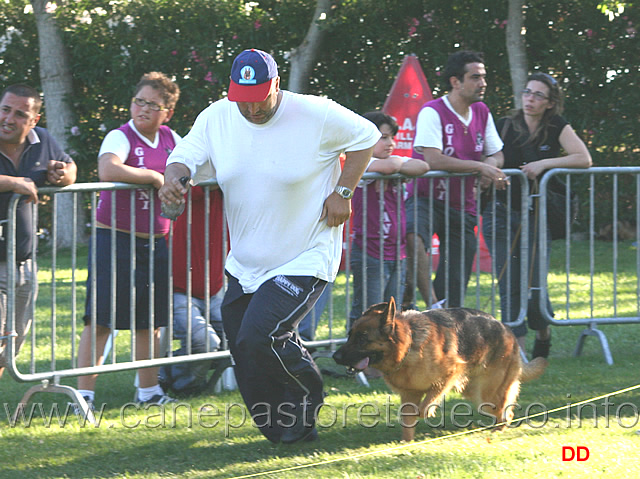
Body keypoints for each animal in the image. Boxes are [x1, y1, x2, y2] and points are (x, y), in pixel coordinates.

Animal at [332, 300, 548, 442]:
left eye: (362, 339)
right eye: (349, 336)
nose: (335, 357)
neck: (409, 346)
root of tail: (507, 329)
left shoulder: (449, 374)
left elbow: (424, 406)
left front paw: (426, 413)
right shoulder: (409, 394)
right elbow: (407, 420)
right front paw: (405, 443)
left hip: (485, 394)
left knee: (506, 412)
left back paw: (496, 432)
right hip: (474, 392)